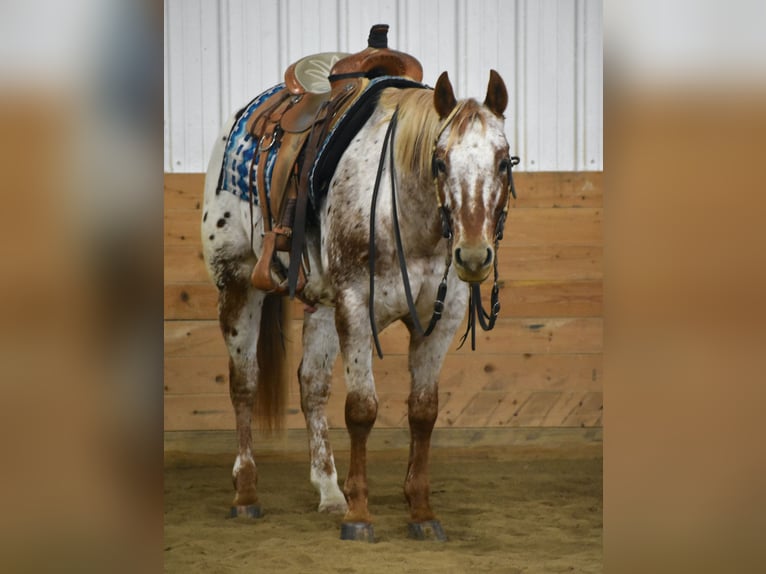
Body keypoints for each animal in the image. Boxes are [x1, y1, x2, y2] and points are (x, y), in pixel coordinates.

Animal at [201, 68, 520, 544]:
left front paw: (420, 511)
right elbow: (362, 409)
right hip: (237, 283)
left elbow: (423, 412)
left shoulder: (440, 318)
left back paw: (330, 491)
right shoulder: (355, 306)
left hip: (321, 305)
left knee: (312, 386)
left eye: (502, 161)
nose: (474, 255)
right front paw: (360, 515)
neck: (407, 215)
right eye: (440, 162)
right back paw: (246, 494)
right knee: (244, 385)